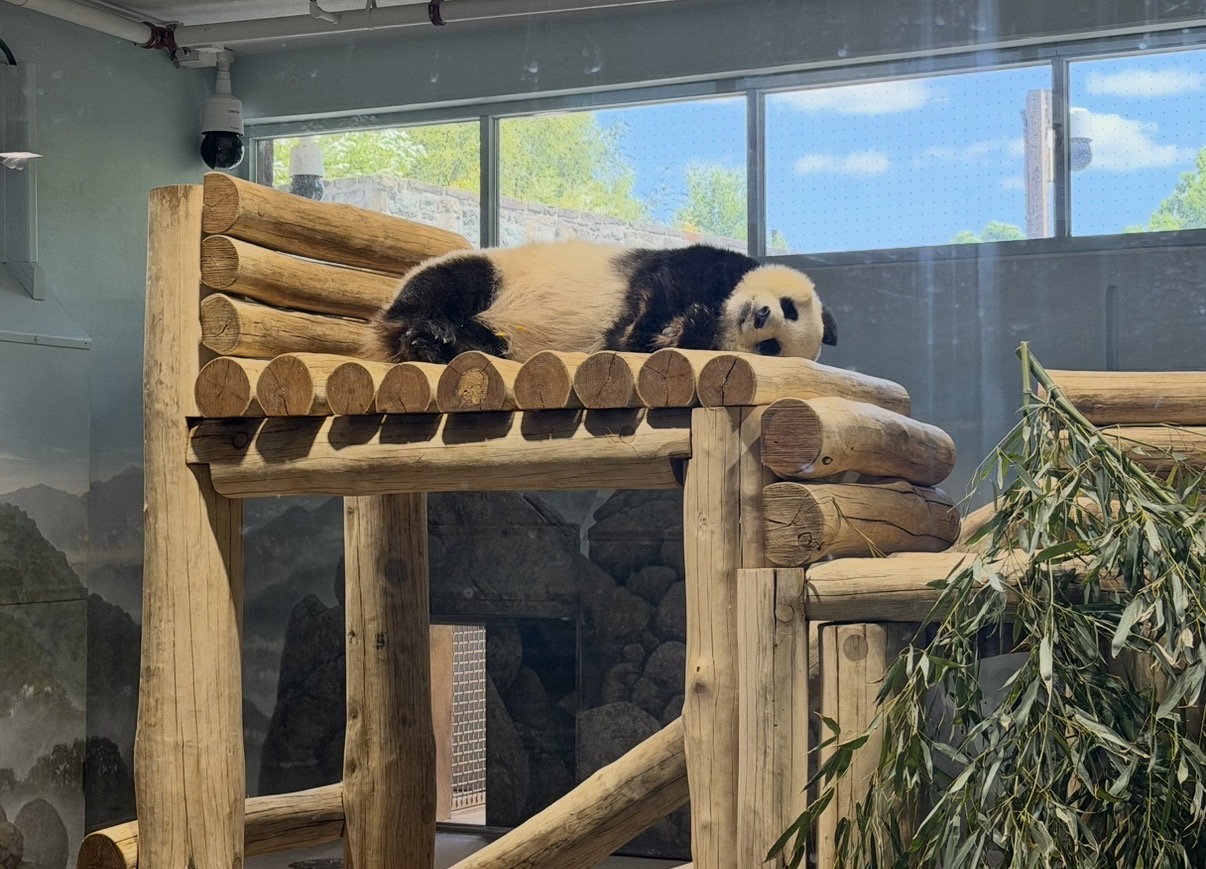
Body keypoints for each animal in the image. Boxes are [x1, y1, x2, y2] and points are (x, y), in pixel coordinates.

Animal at [371, 240, 836, 365]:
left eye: (771, 347)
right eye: (789, 306)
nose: (760, 315)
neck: (724, 312)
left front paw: (677, 329)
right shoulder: (704, 264)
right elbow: (658, 286)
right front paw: (652, 323)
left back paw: (460, 342)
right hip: (494, 271)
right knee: (447, 286)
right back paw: (434, 328)